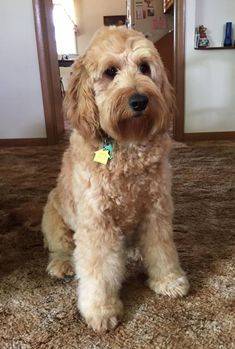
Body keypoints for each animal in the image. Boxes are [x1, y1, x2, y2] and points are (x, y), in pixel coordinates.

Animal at [42, 25, 189, 330]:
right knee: (61, 247)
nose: (139, 100)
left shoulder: (157, 210)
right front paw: (100, 309)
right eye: (110, 71)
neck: (127, 146)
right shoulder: (96, 221)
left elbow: (162, 249)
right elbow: (97, 269)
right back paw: (62, 264)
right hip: (53, 216)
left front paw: (169, 280)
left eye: (144, 67)